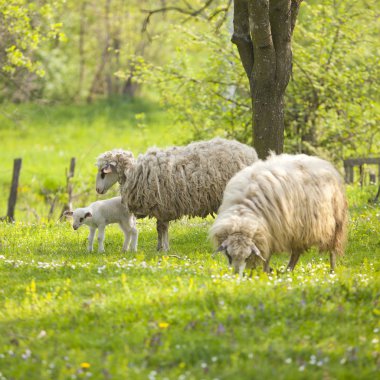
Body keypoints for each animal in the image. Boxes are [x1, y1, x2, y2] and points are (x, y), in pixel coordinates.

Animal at [94, 138, 258, 251]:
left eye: (103, 172)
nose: (97, 190)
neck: (133, 173)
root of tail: (250, 152)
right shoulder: (159, 208)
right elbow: (159, 228)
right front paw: (159, 247)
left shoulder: (163, 206)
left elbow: (163, 228)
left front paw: (164, 248)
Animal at [209, 153, 348, 274]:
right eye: (228, 255)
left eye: (247, 257)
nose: (236, 275)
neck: (242, 213)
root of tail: (324, 163)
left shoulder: (273, 232)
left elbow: (266, 256)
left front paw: (265, 272)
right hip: (298, 229)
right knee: (296, 253)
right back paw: (288, 271)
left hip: (335, 222)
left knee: (332, 251)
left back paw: (332, 270)